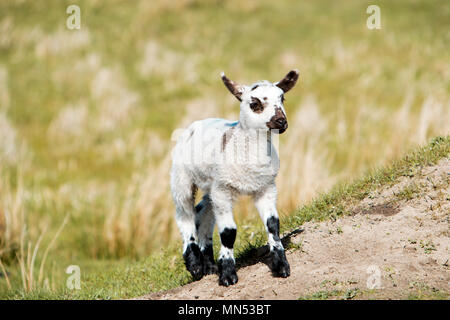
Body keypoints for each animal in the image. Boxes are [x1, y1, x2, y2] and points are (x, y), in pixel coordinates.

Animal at [170, 69, 298, 284]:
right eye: (254, 103)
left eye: (282, 98)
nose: (281, 122)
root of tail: (197, 123)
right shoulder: (223, 189)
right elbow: (229, 231)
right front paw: (228, 274)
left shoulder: (266, 187)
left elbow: (273, 224)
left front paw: (281, 265)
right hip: (182, 178)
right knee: (185, 214)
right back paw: (195, 264)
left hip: (212, 185)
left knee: (203, 211)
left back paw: (209, 265)